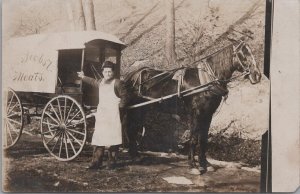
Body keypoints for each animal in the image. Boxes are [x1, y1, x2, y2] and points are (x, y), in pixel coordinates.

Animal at [123, 38, 262, 174]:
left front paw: (205, 164)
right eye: (243, 53)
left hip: (141, 109)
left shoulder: (208, 114)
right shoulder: (196, 113)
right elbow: (194, 138)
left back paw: (135, 154)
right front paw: (193, 165)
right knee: (131, 128)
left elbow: (203, 139)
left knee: (133, 128)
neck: (205, 81)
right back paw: (134, 155)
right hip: (136, 109)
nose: (257, 75)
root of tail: (132, 75)